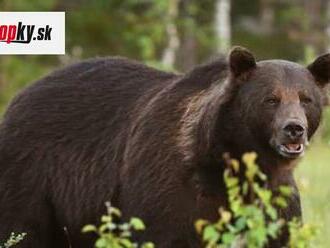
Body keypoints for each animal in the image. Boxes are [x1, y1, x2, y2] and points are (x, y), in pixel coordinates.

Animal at [0, 46, 328, 246]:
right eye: (271, 99)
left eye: (306, 98)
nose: (294, 130)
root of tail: (20, 96)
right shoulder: (170, 192)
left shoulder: (275, 201)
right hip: (31, 176)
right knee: (21, 229)